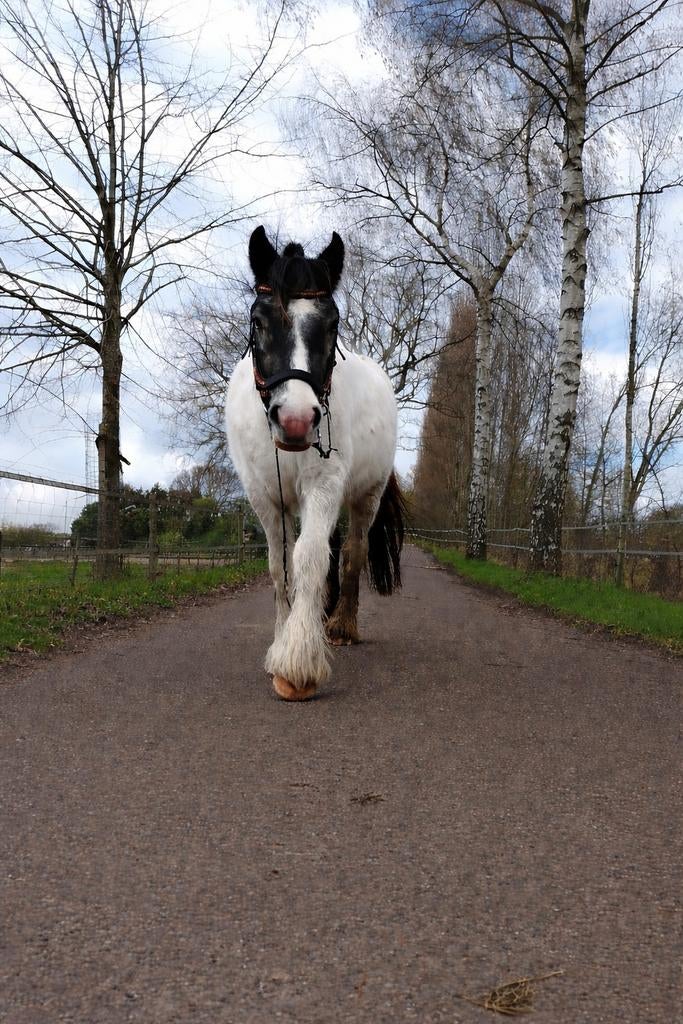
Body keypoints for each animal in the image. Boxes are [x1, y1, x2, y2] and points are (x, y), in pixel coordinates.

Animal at [225, 226, 405, 701]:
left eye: (332, 323)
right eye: (259, 320)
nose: (295, 419)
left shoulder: (323, 486)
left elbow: (309, 559)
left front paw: (297, 664)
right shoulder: (266, 499)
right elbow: (280, 566)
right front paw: (283, 636)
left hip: (365, 497)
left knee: (352, 553)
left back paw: (341, 625)